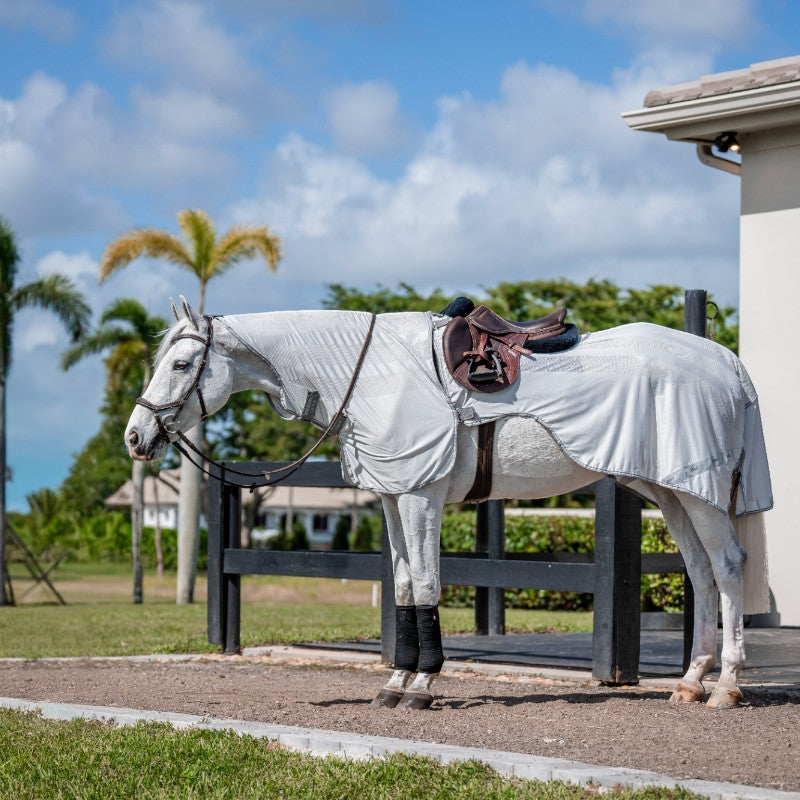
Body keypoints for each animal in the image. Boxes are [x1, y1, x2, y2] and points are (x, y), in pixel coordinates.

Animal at [125, 297, 772, 711]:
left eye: (181, 364)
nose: (136, 437)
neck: (370, 373)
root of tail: (727, 362)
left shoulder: (420, 496)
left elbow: (429, 584)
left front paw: (421, 686)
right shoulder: (393, 496)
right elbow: (405, 586)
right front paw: (396, 682)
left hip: (698, 495)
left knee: (727, 568)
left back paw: (725, 688)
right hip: (673, 494)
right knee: (701, 572)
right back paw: (690, 682)